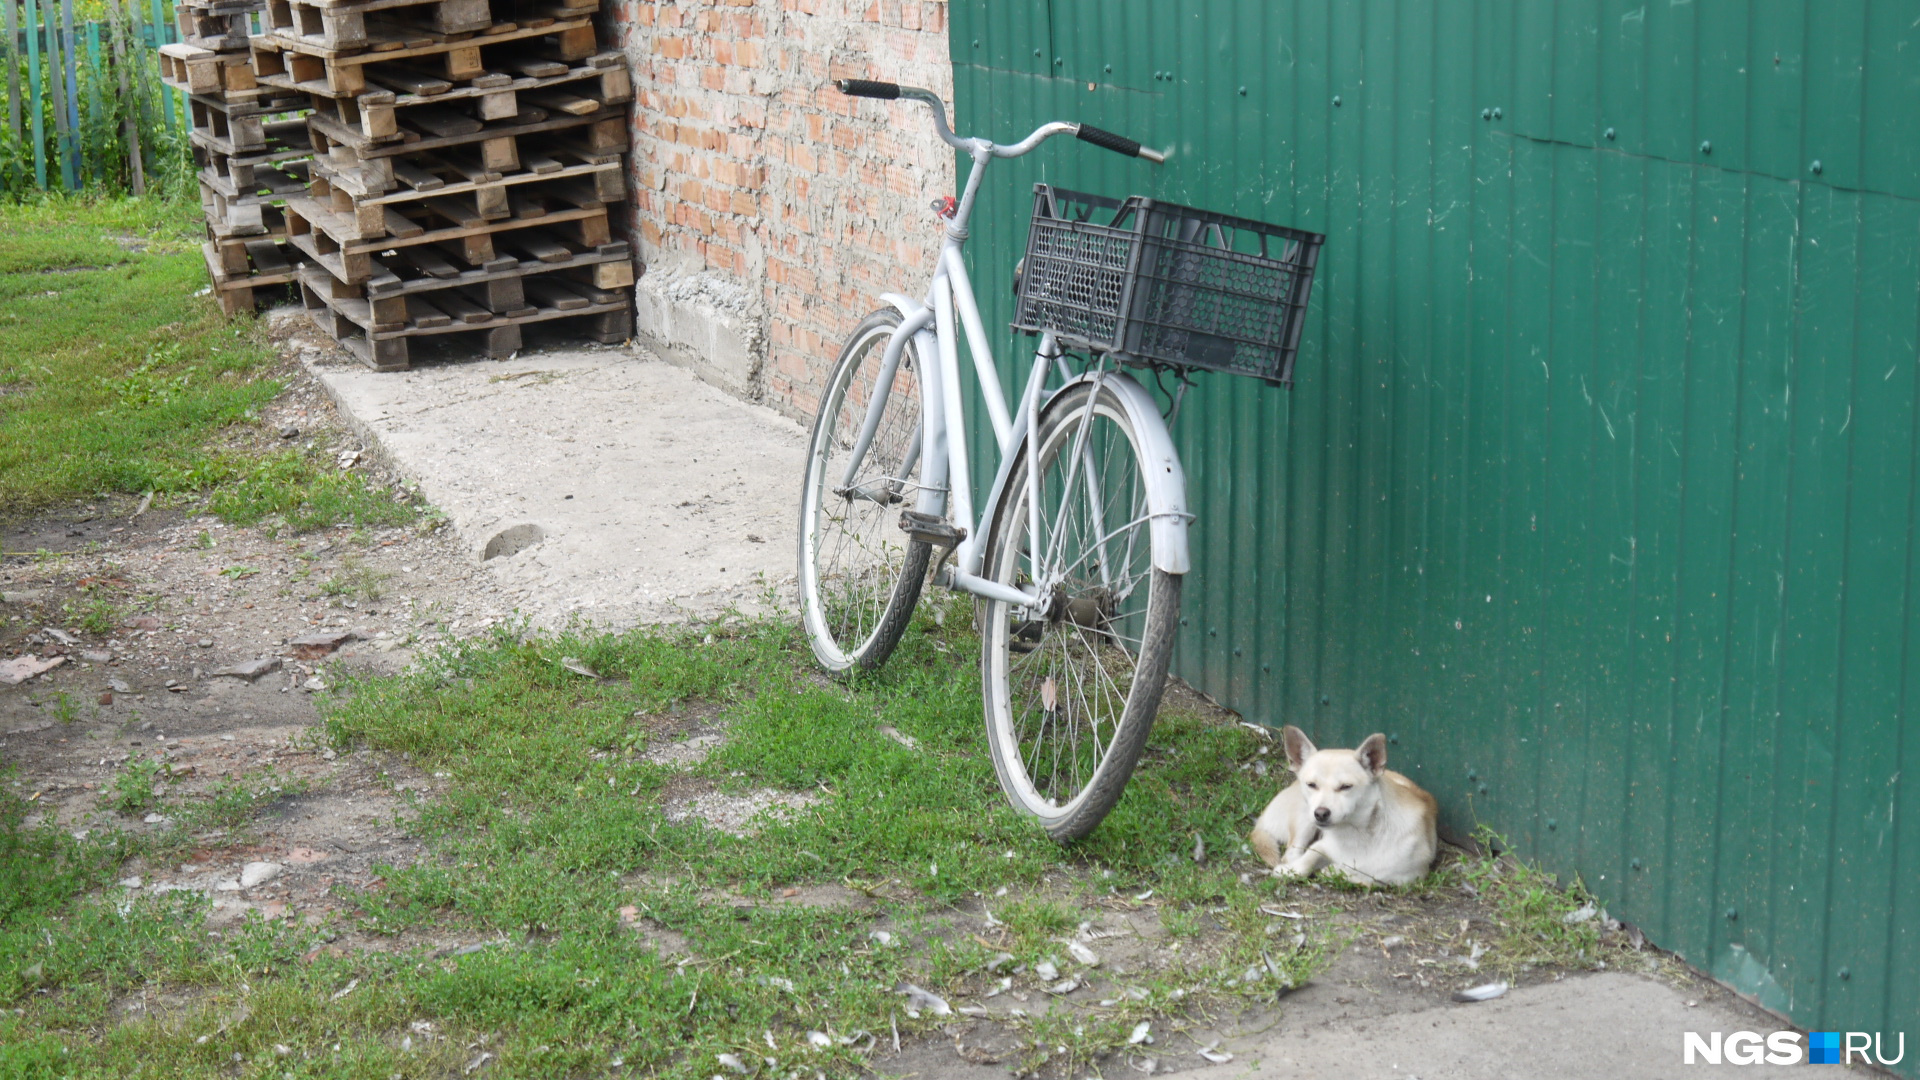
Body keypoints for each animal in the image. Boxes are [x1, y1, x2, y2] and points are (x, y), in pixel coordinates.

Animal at [1251, 722, 1436, 883]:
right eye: (1311, 785)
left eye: (1346, 787)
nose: (1320, 813)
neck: (1354, 833)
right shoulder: (1321, 845)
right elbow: (1310, 856)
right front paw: (1291, 871)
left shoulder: (1408, 877)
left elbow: (1366, 875)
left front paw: (1333, 871)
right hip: (1304, 819)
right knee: (1291, 851)